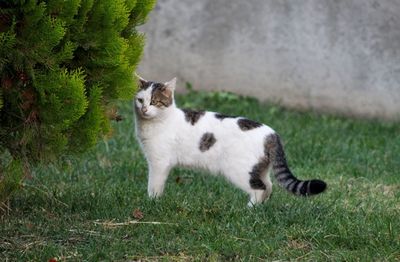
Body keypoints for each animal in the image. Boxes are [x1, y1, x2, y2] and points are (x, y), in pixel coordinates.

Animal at [133, 75, 326, 207]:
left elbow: (154, 185)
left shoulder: (159, 163)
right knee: (269, 186)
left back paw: (249, 209)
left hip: (238, 170)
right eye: (140, 100)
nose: (144, 109)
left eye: (155, 102)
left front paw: (152, 202)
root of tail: (272, 133)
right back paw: (261, 208)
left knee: (260, 188)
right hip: (258, 168)